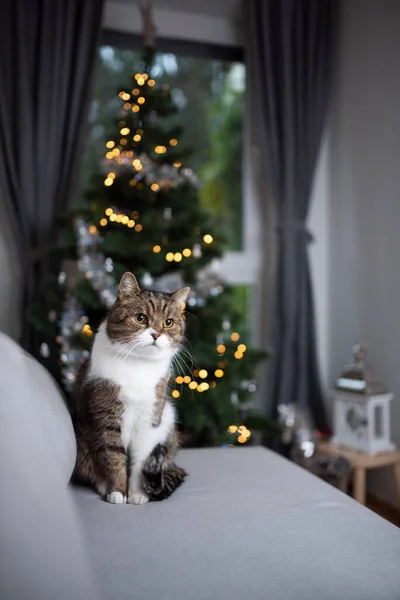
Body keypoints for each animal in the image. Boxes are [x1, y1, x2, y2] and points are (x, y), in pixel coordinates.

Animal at [73, 274, 189, 504]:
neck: (139, 364)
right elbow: (113, 455)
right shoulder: (107, 416)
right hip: (81, 444)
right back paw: (103, 484)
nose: (156, 334)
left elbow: (141, 459)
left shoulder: (150, 419)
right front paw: (118, 491)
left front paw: (137, 493)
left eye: (168, 322)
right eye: (140, 318)